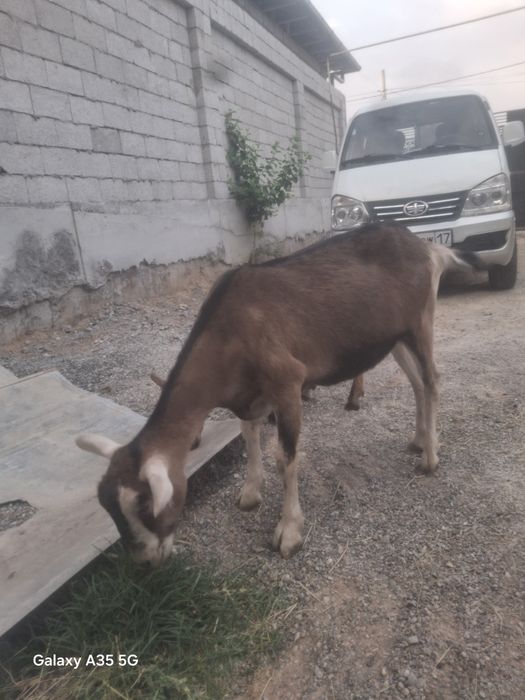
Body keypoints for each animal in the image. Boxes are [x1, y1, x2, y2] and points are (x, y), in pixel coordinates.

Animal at [76, 224, 480, 565]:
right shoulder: (250, 396)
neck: (228, 332)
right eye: (110, 509)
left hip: (420, 322)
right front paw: (250, 494)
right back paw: (420, 439)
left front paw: (289, 532)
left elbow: (286, 458)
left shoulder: (289, 382)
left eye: (147, 507)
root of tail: (428, 247)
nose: (144, 562)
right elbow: (249, 436)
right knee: (416, 383)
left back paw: (429, 459)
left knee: (432, 379)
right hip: (392, 337)